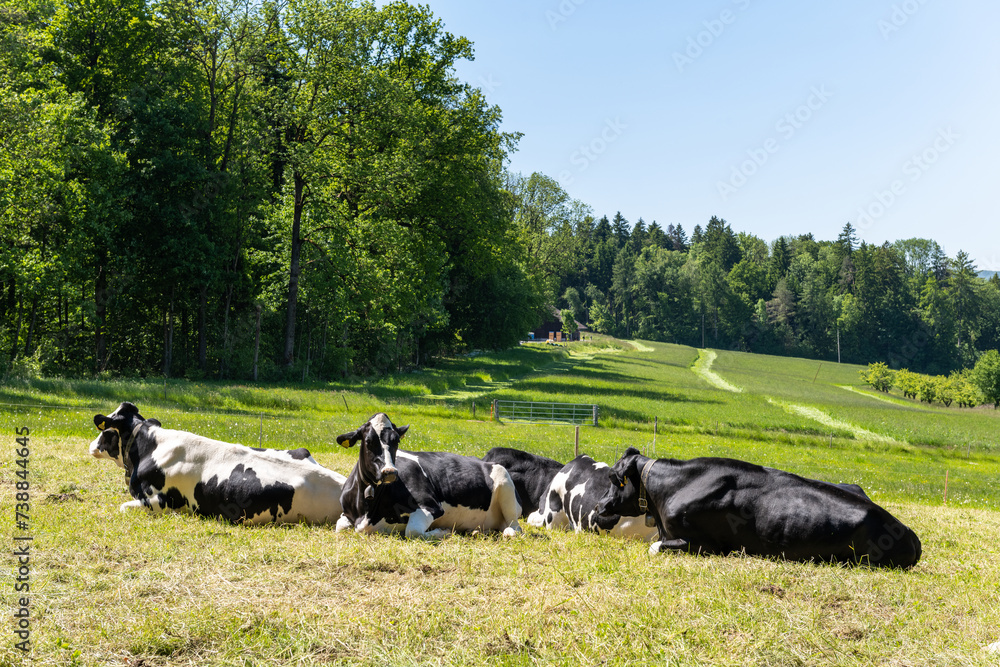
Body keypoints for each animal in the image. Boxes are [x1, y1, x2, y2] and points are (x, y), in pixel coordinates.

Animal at [335, 413, 521, 538]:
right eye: (368, 441)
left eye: (397, 441)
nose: (390, 472)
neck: (367, 512)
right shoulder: (346, 515)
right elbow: (339, 526)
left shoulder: (431, 506)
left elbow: (413, 531)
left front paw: (443, 531)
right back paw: (475, 531)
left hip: (505, 485)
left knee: (514, 527)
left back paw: (506, 531)